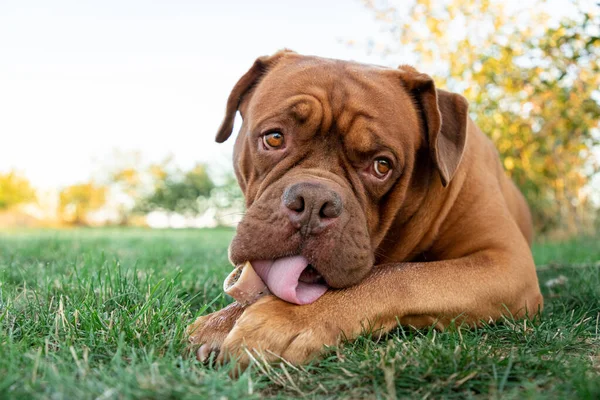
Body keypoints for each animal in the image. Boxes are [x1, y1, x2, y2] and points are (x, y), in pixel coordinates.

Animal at [186, 49, 544, 366]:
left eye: (381, 165)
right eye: (274, 138)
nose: (313, 201)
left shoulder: (505, 262)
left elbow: (400, 276)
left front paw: (287, 320)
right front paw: (221, 321)